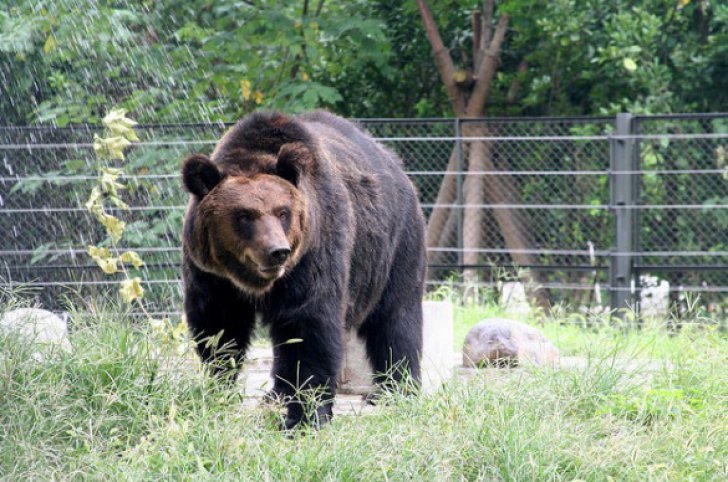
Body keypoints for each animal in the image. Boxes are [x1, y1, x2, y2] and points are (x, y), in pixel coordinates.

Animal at [180, 112, 426, 430]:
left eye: (283, 212)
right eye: (244, 215)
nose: (278, 251)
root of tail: (395, 163)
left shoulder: (313, 253)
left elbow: (310, 326)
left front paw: (304, 418)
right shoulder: (213, 276)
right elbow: (220, 328)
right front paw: (220, 387)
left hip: (395, 245)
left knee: (396, 317)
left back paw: (396, 389)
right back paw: (275, 394)